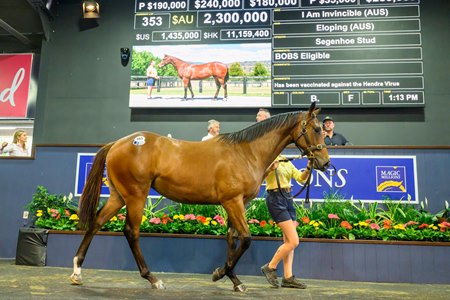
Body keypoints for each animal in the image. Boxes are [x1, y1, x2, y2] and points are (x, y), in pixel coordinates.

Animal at [71, 102, 330, 292]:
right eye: (317, 130)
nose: (325, 163)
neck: (245, 152)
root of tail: (117, 143)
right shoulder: (233, 201)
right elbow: (246, 239)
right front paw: (220, 274)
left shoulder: (235, 203)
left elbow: (231, 238)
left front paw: (234, 280)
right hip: (136, 195)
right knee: (131, 232)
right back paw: (153, 278)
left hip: (118, 196)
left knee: (96, 223)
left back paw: (76, 272)